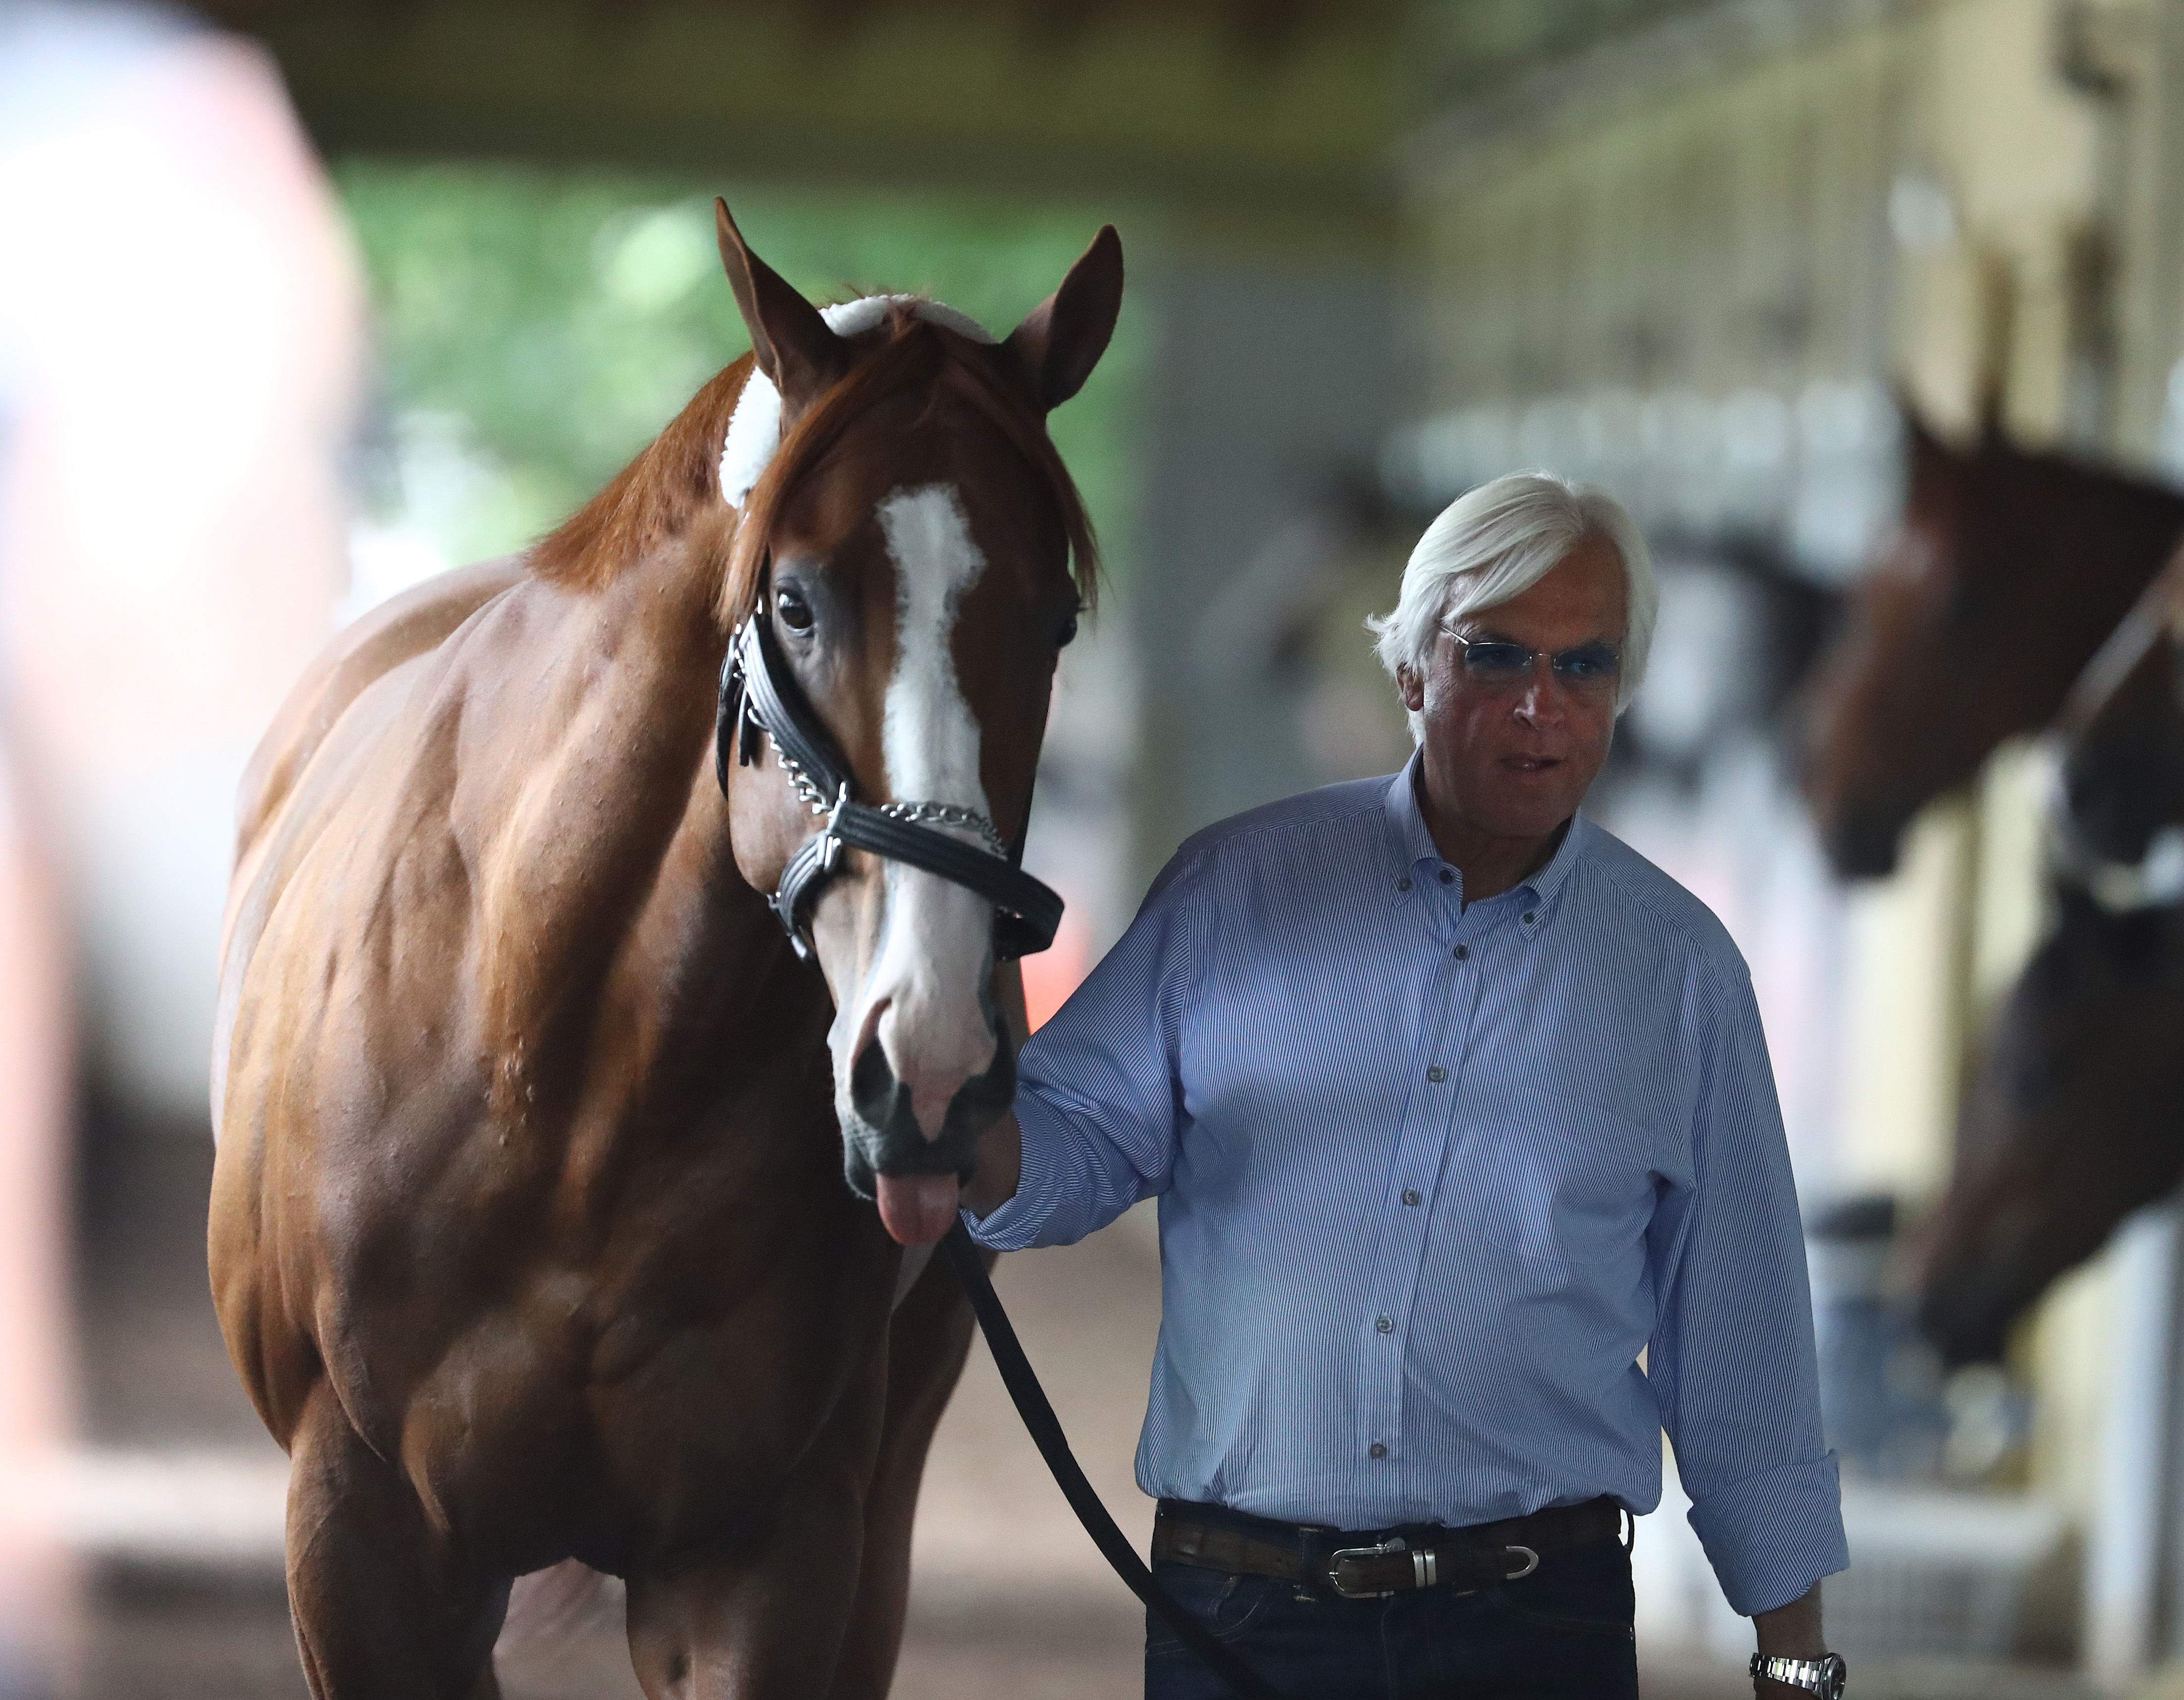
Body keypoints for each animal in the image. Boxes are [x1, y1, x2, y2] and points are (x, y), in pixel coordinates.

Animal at [206, 206, 1127, 1693]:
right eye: (795, 601)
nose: (930, 1067)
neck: (566, 1082)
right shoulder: (363, 1542)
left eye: (1055, 621)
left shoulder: (763, 1555)